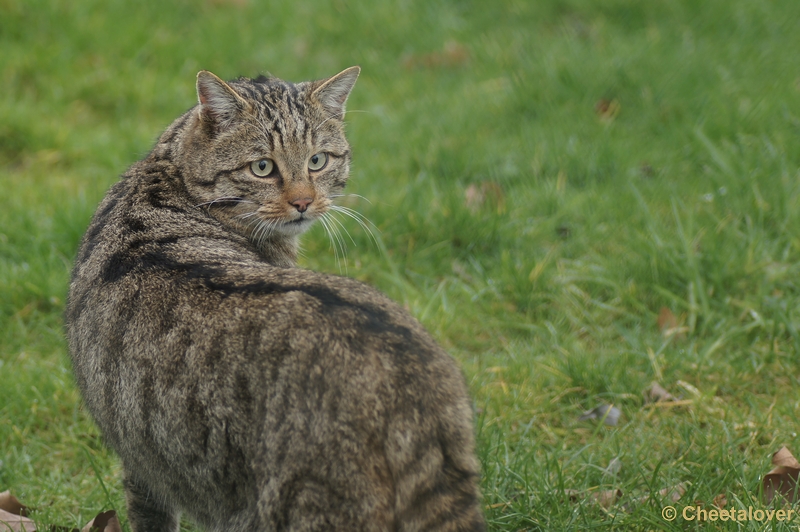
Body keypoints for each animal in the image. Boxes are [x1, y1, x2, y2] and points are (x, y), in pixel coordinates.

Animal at [65, 68, 484, 528]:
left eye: (317, 161)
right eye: (262, 167)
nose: (303, 201)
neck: (166, 170)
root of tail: (410, 368)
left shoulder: (141, 464)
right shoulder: (141, 465)